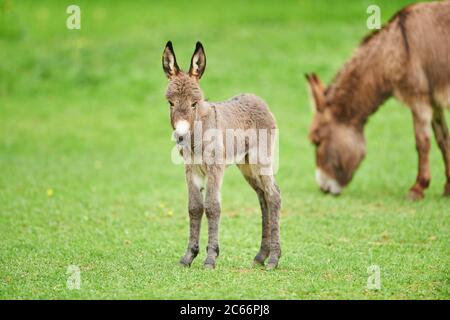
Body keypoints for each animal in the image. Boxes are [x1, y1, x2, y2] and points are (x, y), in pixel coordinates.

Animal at [162, 41, 282, 268]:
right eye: (170, 103)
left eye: (194, 103)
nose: (180, 137)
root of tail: (256, 98)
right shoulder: (191, 169)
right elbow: (194, 207)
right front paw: (188, 256)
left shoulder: (215, 168)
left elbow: (212, 207)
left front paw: (210, 258)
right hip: (246, 165)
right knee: (262, 196)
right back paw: (261, 255)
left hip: (261, 160)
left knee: (273, 196)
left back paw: (273, 258)